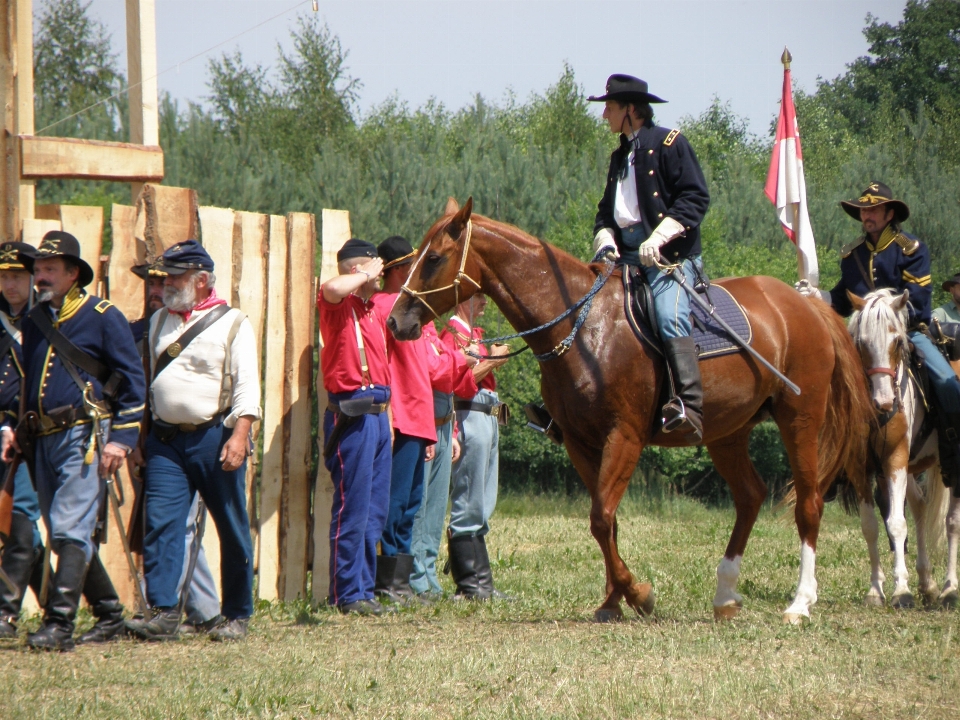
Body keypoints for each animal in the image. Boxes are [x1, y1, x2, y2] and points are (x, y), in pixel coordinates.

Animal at [390, 198, 876, 624]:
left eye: (435, 258)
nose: (396, 321)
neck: (583, 327)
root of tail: (804, 304)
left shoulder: (623, 435)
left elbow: (602, 517)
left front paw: (638, 594)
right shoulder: (581, 443)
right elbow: (608, 521)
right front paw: (614, 600)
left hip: (801, 419)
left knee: (808, 504)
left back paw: (800, 603)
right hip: (726, 433)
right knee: (750, 497)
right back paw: (725, 594)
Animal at [852, 286, 956, 608]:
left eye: (898, 341)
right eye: (861, 342)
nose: (884, 402)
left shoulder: (895, 458)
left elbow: (897, 523)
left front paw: (901, 591)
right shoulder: (862, 467)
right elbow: (870, 526)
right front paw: (875, 590)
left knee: (952, 522)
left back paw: (950, 588)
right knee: (921, 508)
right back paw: (928, 583)